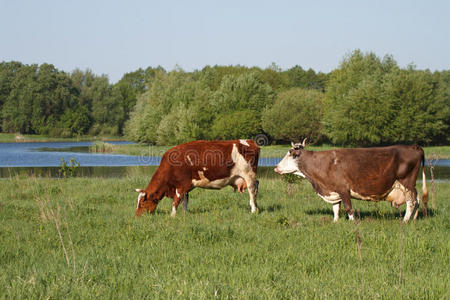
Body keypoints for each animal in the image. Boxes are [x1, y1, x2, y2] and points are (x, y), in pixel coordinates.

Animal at [274, 139, 428, 221]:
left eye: (290, 155)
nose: (276, 167)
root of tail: (414, 146)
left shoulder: (343, 189)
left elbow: (349, 208)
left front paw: (352, 223)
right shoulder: (333, 191)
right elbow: (336, 208)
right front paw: (335, 222)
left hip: (407, 183)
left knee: (411, 202)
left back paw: (405, 221)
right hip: (410, 186)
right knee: (417, 200)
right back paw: (414, 219)